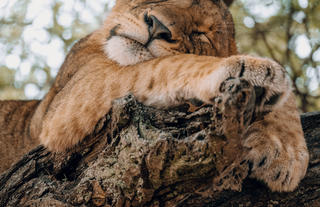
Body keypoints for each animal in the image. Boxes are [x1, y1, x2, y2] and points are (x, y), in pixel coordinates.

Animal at [0, 0, 310, 192]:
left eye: (201, 33)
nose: (156, 26)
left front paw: (284, 150)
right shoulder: (66, 105)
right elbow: (165, 65)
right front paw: (252, 69)